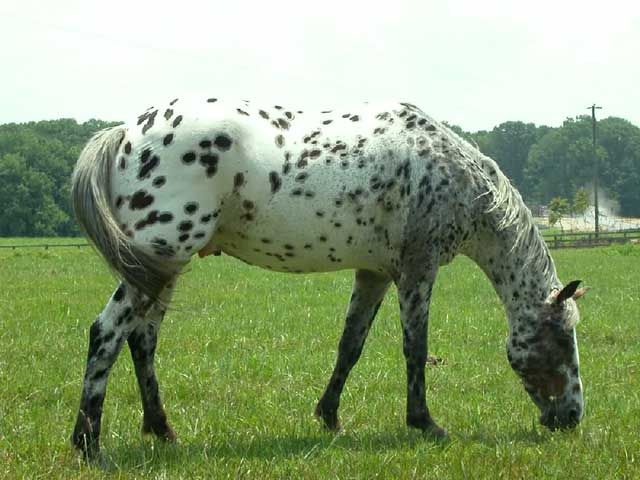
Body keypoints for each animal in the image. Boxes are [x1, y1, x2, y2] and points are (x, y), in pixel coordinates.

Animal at [70, 97, 587, 460]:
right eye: (563, 337)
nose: (572, 416)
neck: (448, 172)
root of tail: (127, 133)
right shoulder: (417, 269)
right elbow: (415, 348)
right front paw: (425, 423)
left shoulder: (375, 273)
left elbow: (350, 345)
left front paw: (330, 417)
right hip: (161, 255)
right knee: (106, 332)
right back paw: (89, 444)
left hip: (163, 267)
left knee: (142, 340)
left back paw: (162, 430)